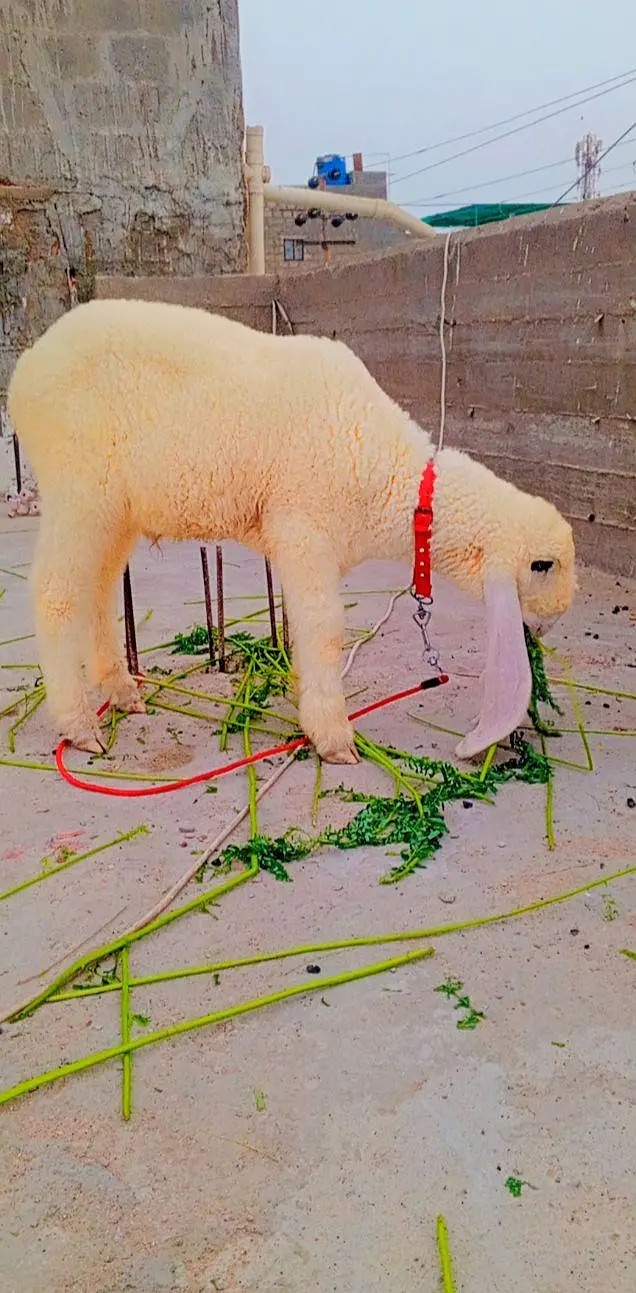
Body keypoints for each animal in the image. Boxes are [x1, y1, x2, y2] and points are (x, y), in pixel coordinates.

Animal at [7, 297, 575, 764]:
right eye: (542, 565)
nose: (551, 626)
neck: (394, 481)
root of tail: (25, 371)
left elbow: (304, 627)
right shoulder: (303, 531)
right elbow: (324, 628)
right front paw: (334, 737)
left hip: (116, 512)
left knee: (98, 593)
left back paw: (124, 693)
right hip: (79, 491)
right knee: (56, 595)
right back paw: (80, 726)